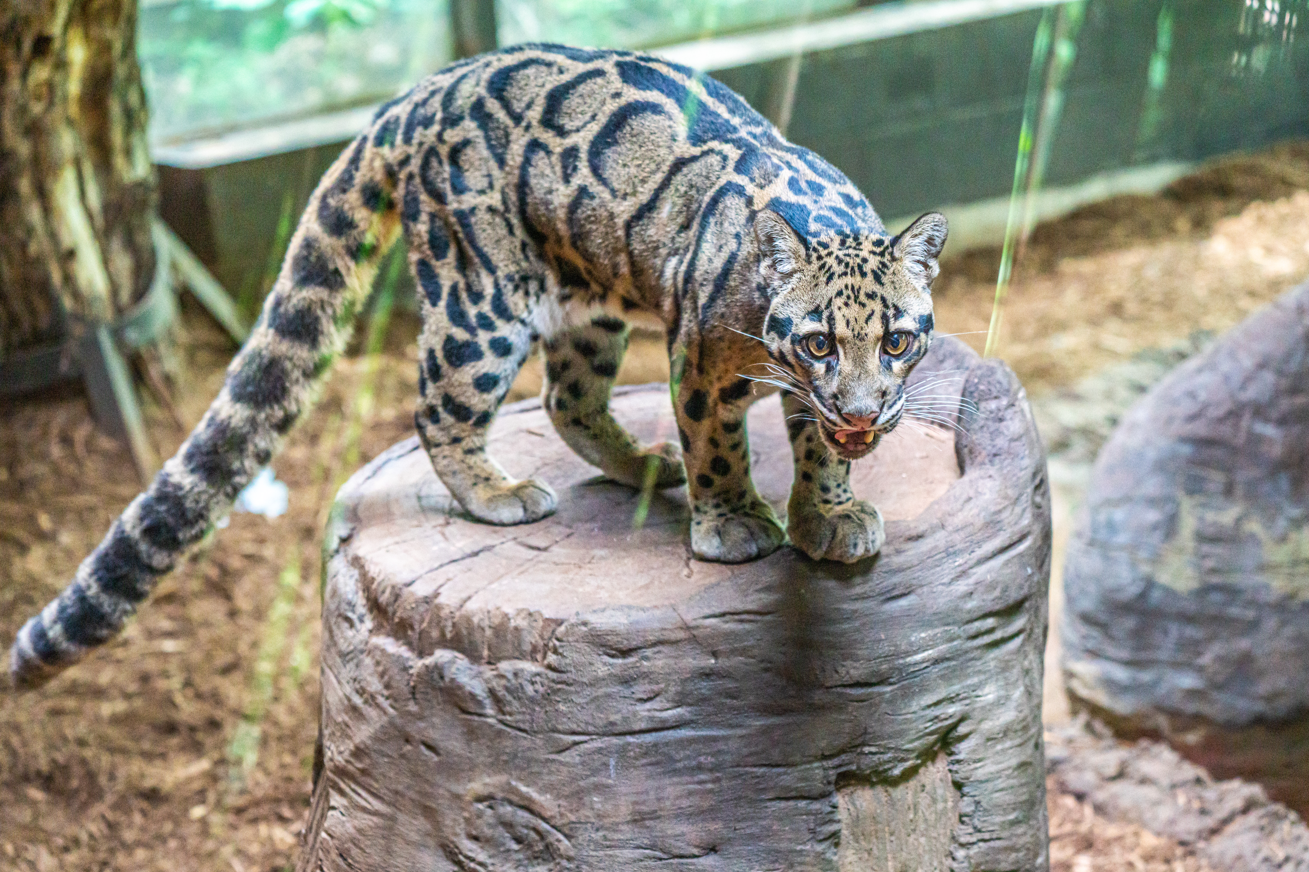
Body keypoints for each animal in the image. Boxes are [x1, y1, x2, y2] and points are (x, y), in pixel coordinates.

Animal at [10, 43, 946, 689]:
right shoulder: (702, 361)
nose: (864, 411)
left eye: (896, 341)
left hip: (585, 306)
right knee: (438, 406)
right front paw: (737, 522)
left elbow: (816, 448)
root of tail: (428, 86)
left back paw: (643, 466)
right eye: (818, 342)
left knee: (566, 400)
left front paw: (829, 512)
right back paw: (498, 493)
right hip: (478, 301)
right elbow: (719, 444)